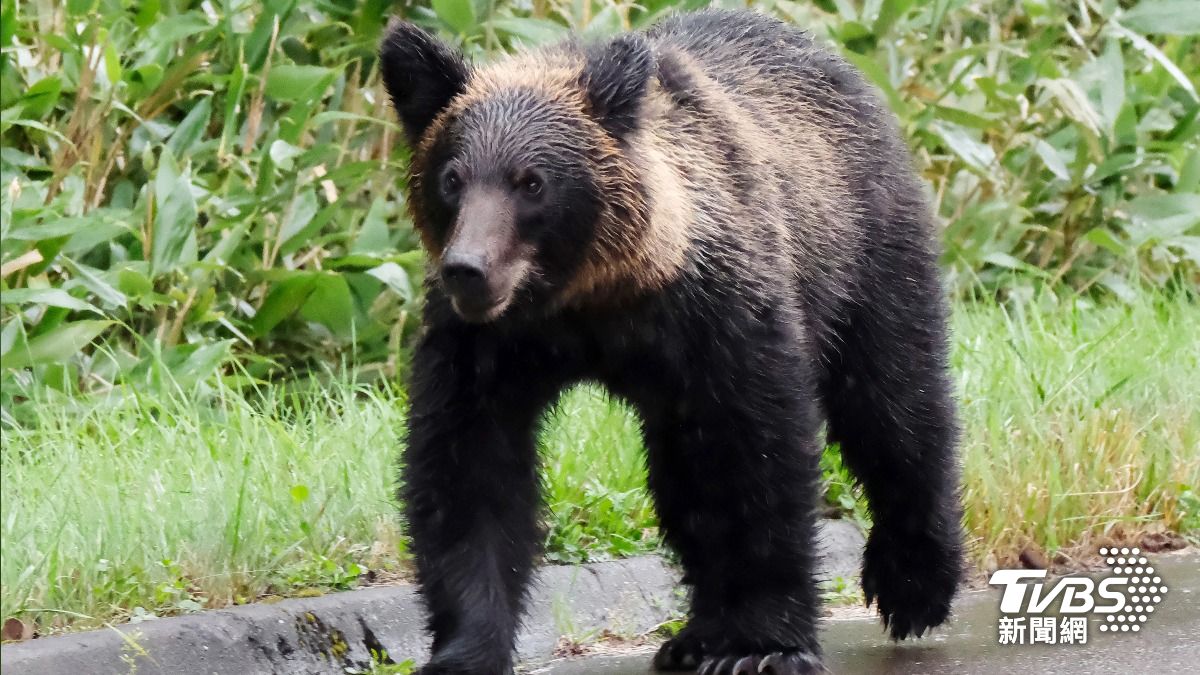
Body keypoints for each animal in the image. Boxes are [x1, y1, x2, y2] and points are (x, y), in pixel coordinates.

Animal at [379, 9, 964, 675]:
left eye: (532, 182)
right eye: (451, 179)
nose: (468, 270)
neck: (591, 299)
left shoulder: (719, 318)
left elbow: (754, 460)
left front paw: (762, 643)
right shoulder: (487, 351)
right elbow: (468, 471)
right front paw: (465, 648)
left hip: (865, 256)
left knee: (894, 405)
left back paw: (914, 584)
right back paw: (695, 636)